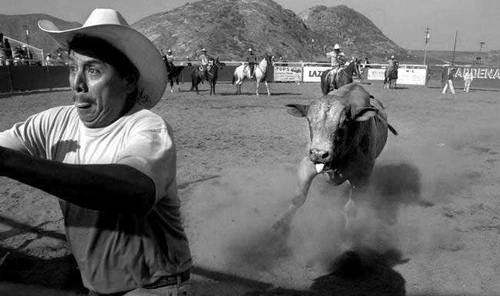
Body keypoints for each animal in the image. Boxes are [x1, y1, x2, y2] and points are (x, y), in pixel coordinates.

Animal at [274, 82, 398, 234]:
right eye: (309, 120)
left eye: (344, 122)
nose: (319, 154)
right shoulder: (307, 165)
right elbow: (298, 198)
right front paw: (281, 224)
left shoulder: (362, 178)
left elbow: (351, 209)